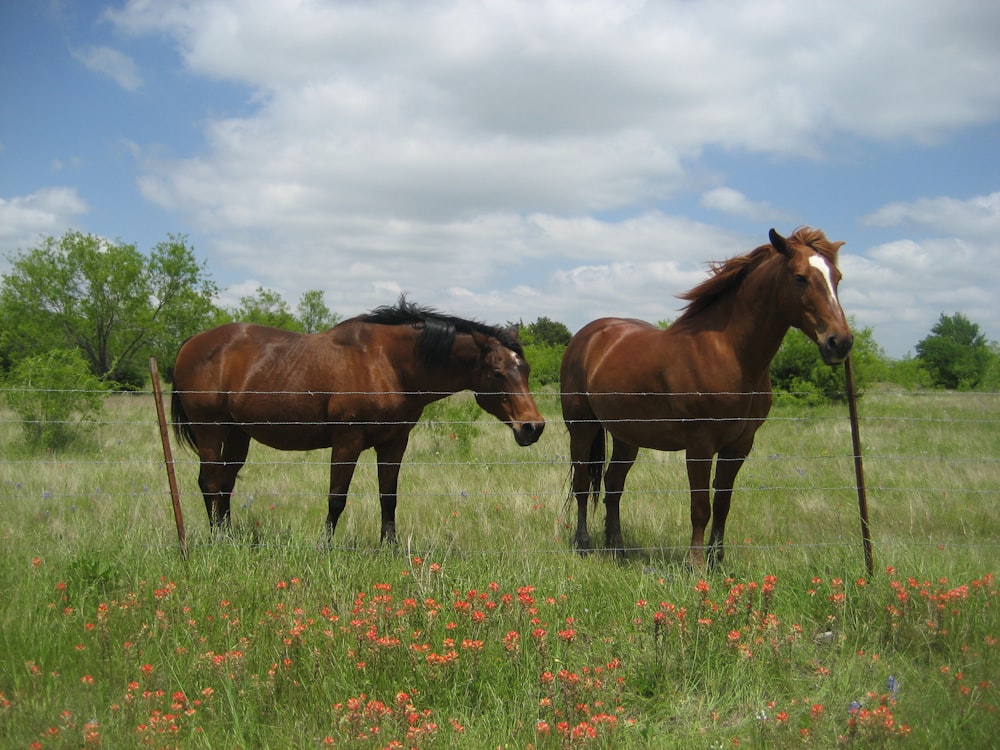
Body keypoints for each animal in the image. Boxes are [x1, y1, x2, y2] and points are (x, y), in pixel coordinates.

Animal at [174, 296, 548, 544]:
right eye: (498, 373)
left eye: (526, 369)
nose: (533, 427)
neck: (387, 364)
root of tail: (191, 343)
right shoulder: (347, 441)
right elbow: (336, 498)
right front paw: (324, 547)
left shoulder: (395, 442)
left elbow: (389, 497)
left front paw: (390, 547)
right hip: (210, 429)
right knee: (210, 482)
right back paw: (217, 541)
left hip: (238, 433)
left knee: (225, 483)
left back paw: (229, 537)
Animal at [564, 226, 852, 568]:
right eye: (800, 277)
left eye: (837, 277)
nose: (840, 342)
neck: (729, 353)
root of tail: (587, 336)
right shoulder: (700, 445)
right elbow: (700, 505)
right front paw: (696, 563)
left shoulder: (739, 446)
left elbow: (723, 502)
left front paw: (717, 559)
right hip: (582, 428)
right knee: (583, 484)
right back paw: (583, 545)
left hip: (626, 437)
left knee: (613, 485)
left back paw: (617, 548)